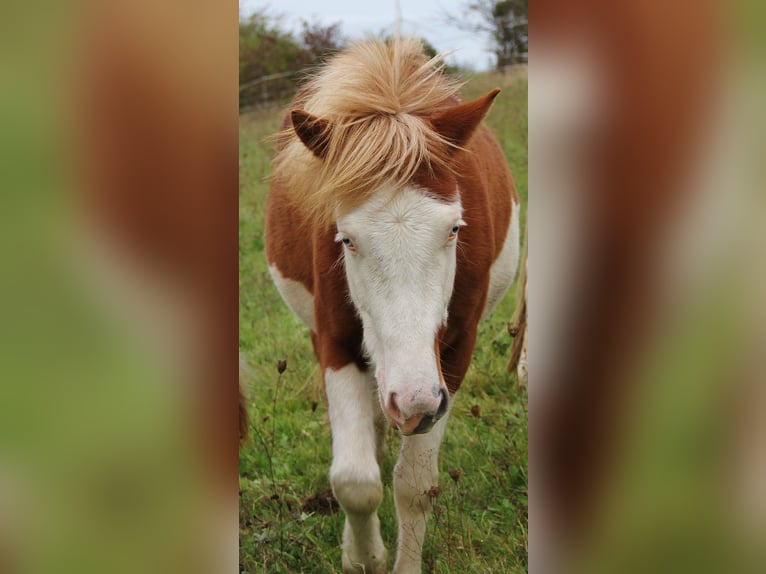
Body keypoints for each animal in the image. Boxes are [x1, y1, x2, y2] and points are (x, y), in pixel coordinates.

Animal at [265, 37, 520, 573]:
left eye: (455, 229)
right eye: (346, 239)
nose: (415, 402)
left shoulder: (453, 357)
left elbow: (415, 486)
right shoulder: (336, 342)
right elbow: (356, 481)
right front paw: (363, 555)